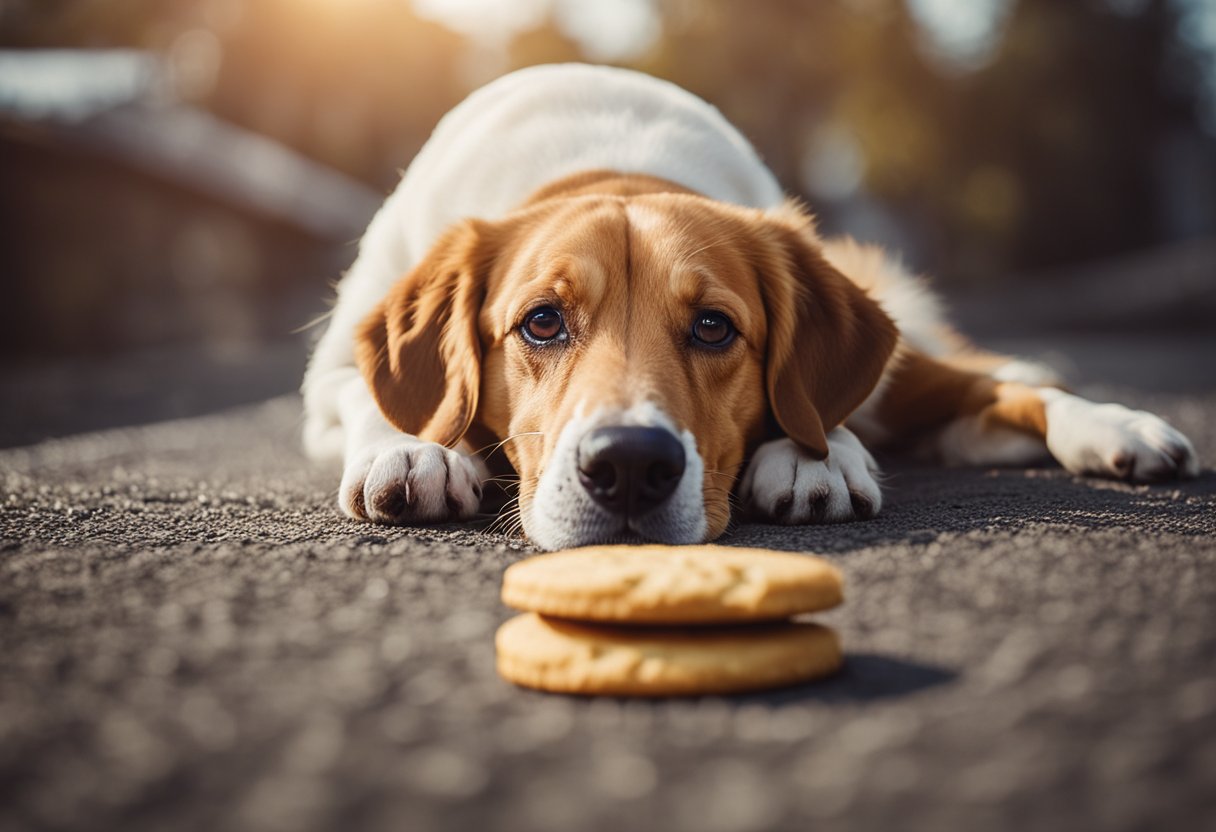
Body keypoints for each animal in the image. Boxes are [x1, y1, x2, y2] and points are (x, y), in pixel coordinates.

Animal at [301, 63, 1196, 544]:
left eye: (713, 327)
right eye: (542, 321)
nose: (630, 465)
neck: (614, 168)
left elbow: (823, 407)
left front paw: (814, 453)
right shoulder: (332, 370)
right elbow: (369, 396)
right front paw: (414, 448)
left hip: (903, 376)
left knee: (1000, 384)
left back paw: (1118, 429)